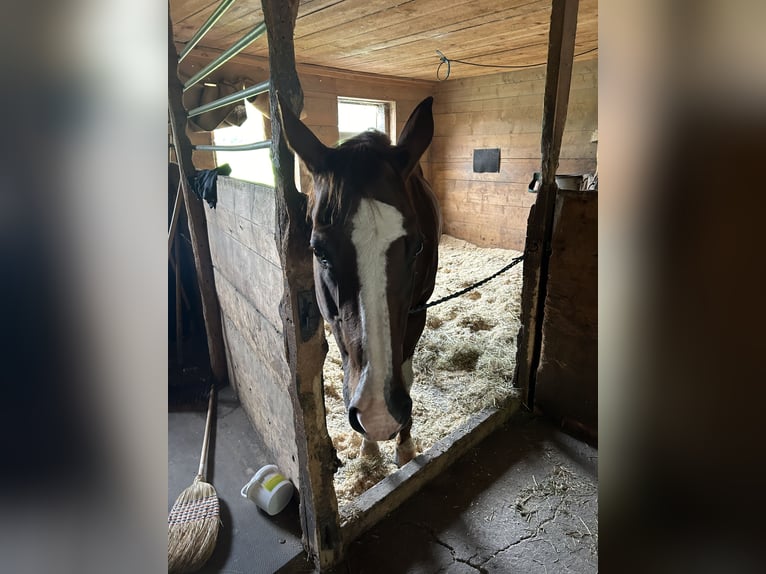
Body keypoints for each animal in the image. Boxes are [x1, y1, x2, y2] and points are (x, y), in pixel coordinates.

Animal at [280, 95, 440, 468]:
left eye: (418, 246)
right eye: (318, 250)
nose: (378, 413)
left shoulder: (417, 311)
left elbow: (406, 375)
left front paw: (404, 447)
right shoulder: (333, 320)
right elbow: (347, 373)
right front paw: (369, 447)